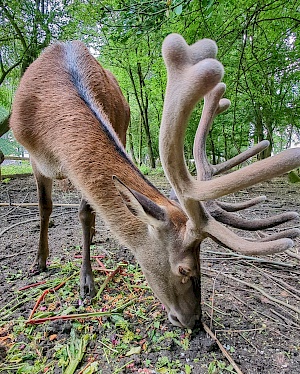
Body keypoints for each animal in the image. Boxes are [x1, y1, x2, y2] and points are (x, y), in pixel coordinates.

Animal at [9, 33, 300, 328]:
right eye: (184, 269)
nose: (195, 320)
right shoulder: (33, 157)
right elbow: (45, 207)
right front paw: (43, 264)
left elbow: (85, 211)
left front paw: (86, 280)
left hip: (122, 128)